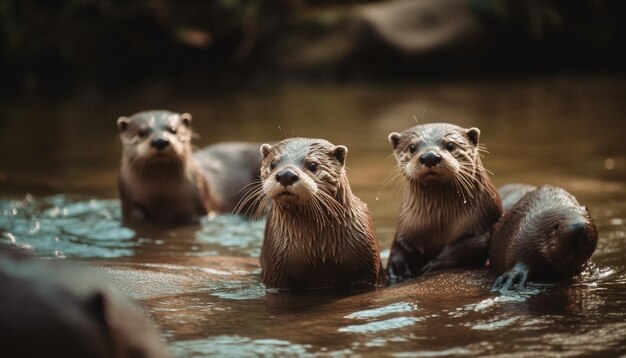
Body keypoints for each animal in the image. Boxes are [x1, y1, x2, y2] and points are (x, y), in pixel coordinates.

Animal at [117, 110, 260, 225]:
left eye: (173, 130)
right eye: (141, 132)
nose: (160, 141)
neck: (161, 197)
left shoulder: (199, 201)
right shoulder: (129, 201)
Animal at [251, 138, 382, 290]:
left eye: (313, 165)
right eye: (272, 164)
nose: (286, 175)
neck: (318, 252)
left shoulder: (369, 265)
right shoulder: (275, 270)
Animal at [386, 123, 502, 282]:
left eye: (450, 145)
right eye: (412, 147)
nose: (430, 156)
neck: (438, 223)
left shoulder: (483, 222)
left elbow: (466, 247)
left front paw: (430, 266)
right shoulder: (405, 227)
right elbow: (398, 248)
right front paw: (398, 269)